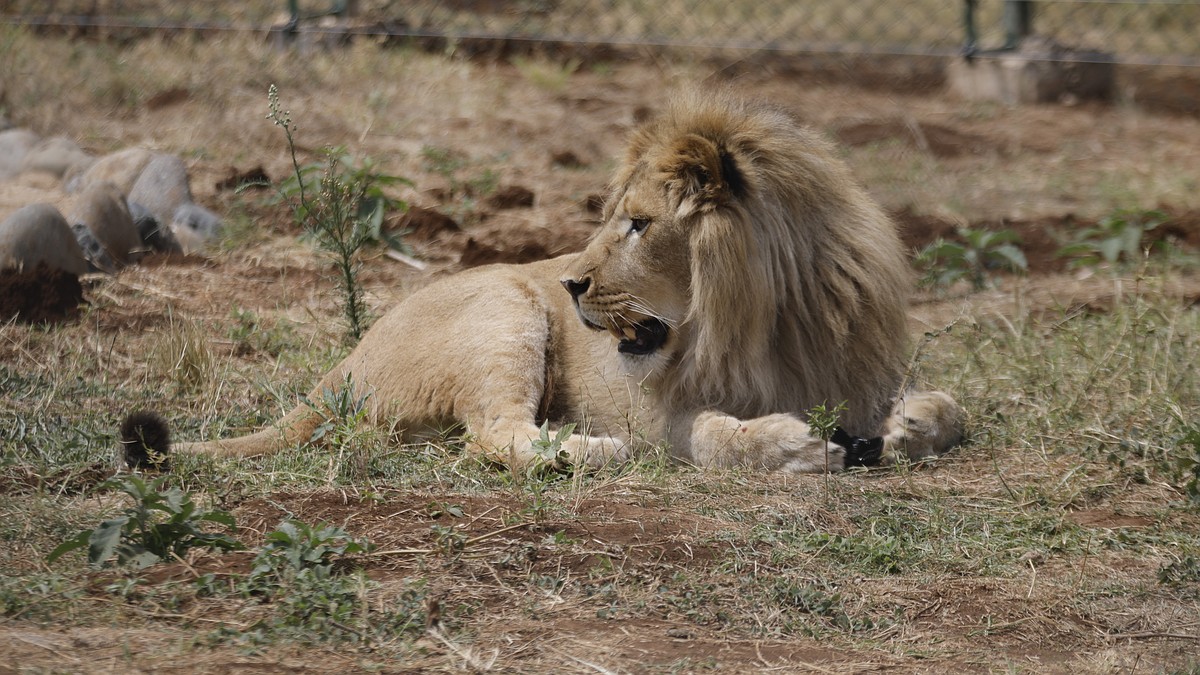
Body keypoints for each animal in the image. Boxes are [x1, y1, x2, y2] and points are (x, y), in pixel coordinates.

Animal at [124, 90, 964, 473]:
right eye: (615, 218)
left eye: (638, 224)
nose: (572, 284)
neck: (771, 325)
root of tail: (339, 367)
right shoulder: (656, 410)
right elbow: (711, 430)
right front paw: (790, 443)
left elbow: (951, 406)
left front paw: (909, 425)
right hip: (504, 307)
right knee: (493, 434)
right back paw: (586, 448)